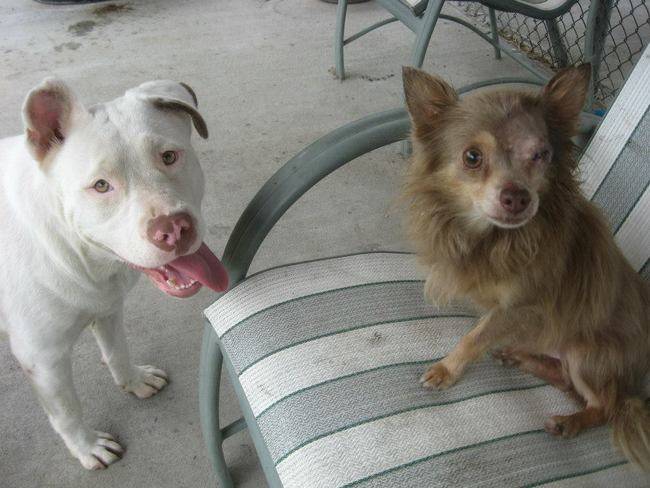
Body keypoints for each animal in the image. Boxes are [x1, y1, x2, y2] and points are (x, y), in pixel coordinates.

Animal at [0, 79, 228, 468]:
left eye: (169, 157)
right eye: (101, 186)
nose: (173, 229)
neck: (80, 254)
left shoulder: (107, 306)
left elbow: (117, 350)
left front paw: (134, 381)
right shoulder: (42, 359)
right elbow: (67, 411)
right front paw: (87, 447)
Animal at [400, 65, 648, 468]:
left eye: (542, 154)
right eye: (472, 157)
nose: (517, 196)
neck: (497, 239)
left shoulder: (520, 305)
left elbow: (473, 337)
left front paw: (447, 369)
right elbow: (481, 329)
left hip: (586, 354)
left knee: (604, 406)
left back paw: (569, 422)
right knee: (564, 379)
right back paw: (517, 355)